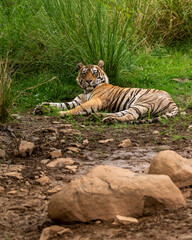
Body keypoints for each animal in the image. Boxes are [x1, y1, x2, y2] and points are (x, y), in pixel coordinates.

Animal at [34, 60, 178, 124]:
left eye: (94, 73)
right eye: (84, 73)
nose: (88, 81)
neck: (86, 91)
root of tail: (173, 101)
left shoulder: (96, 100)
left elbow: (78, 108)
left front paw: (62, 113)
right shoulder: (75, 101)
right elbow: (58, 104)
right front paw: (41, 107)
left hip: (142, 104)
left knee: (130, 117)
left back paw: (107, 119)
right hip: (136, 105)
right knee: (122, 113)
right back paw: (99, 116)